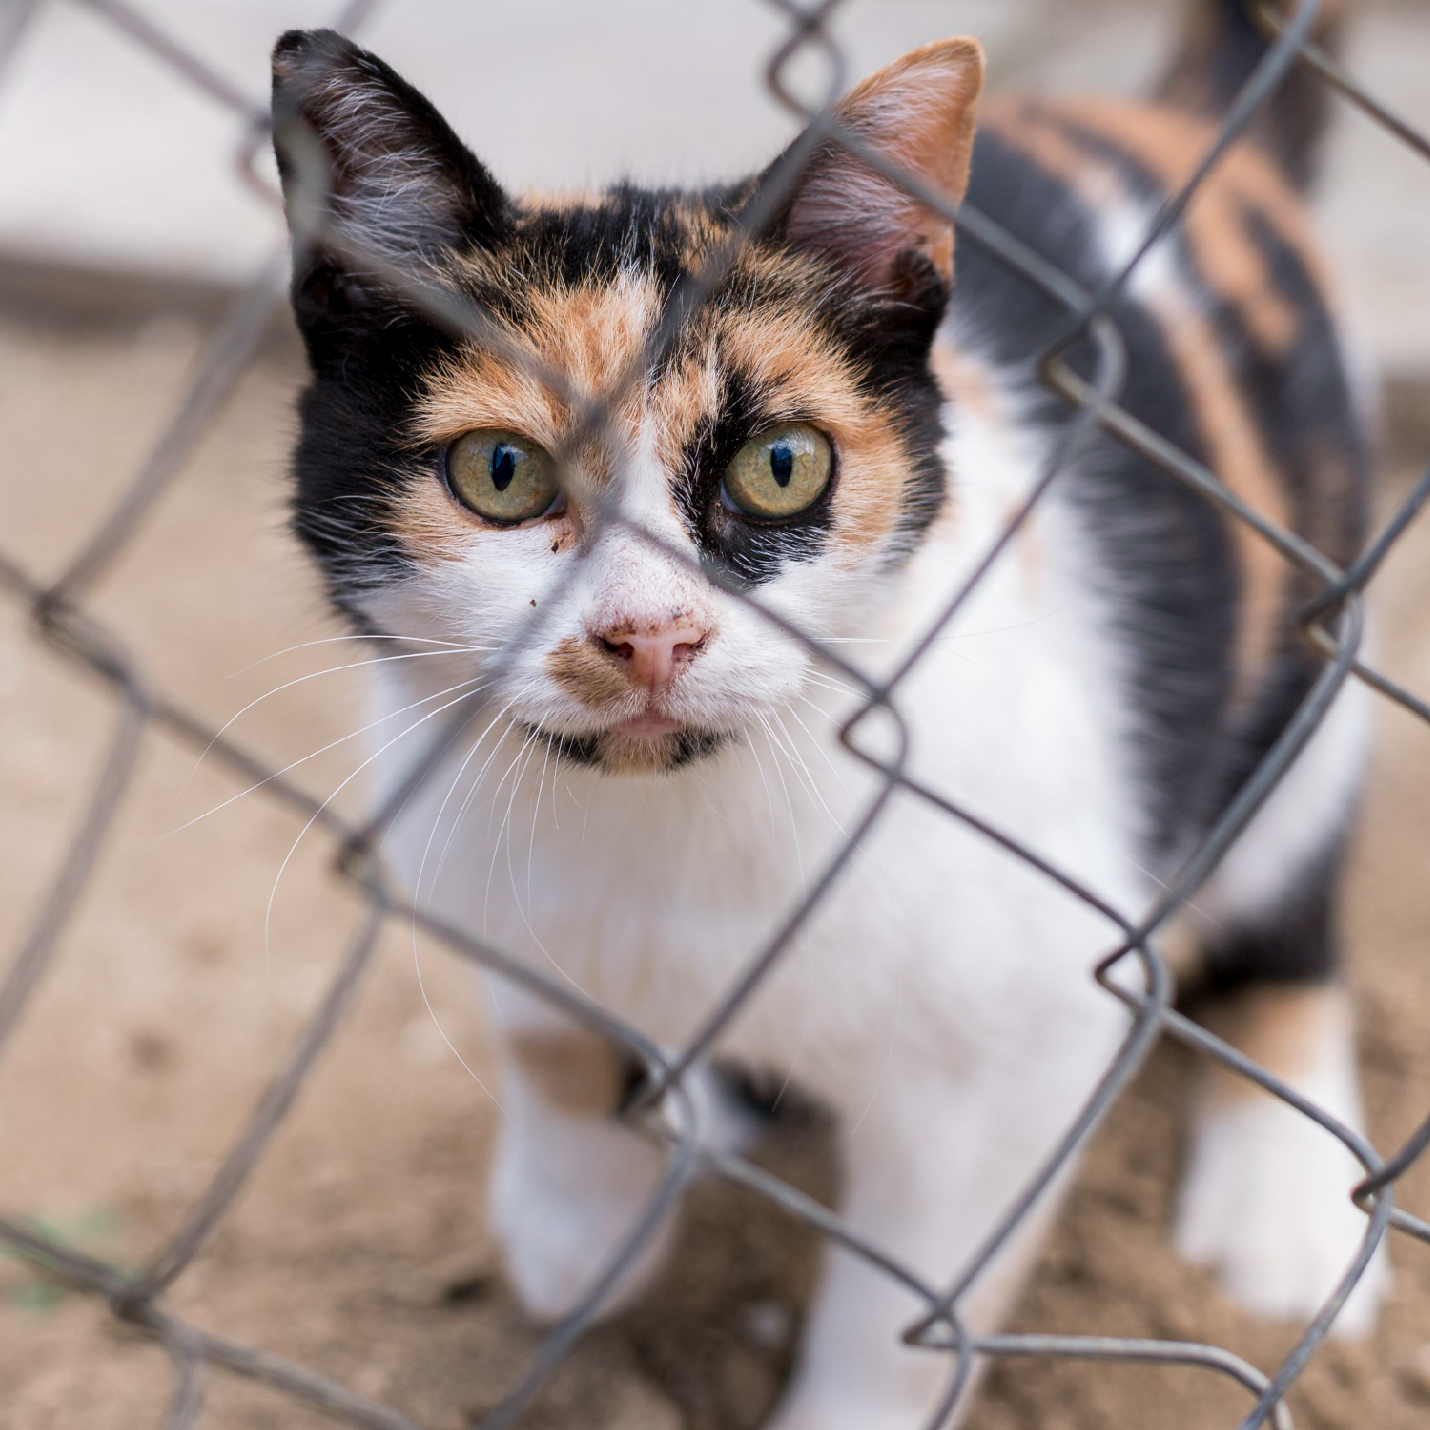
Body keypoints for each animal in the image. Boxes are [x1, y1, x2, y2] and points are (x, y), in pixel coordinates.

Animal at [268, 5, 1384, 1424]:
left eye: (781, 464)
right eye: (501, 471)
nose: (648, 633)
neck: (663, 831)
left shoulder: (1019, 1048)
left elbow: (903, 1306)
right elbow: (540, 1023)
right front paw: (572, 1220)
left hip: (1308, 673)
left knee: (1288, 896)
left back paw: (1282, 1199)